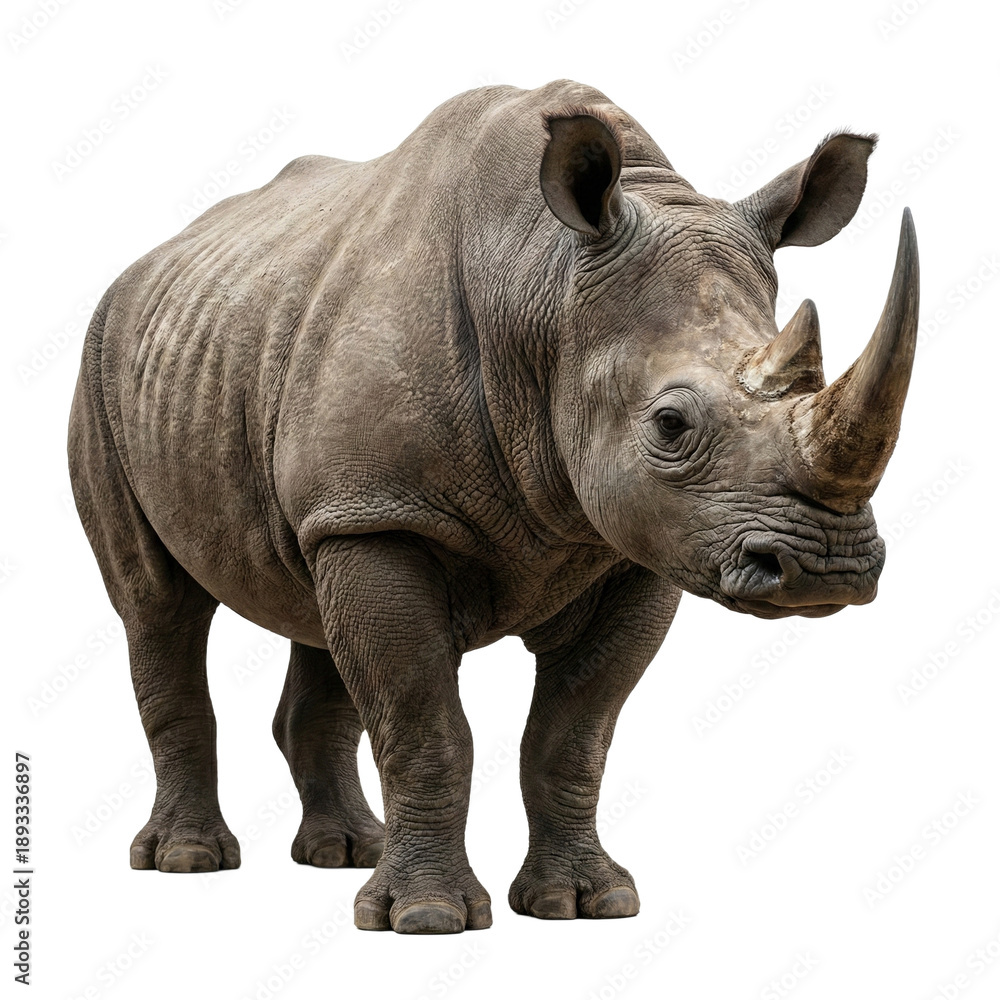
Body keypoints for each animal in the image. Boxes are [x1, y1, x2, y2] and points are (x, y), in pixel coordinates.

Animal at [68, 79, 919, 934]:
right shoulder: (386, 513)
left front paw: (585, 903)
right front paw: (425, 917)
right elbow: (424, 725)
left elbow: (574, 735)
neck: (544, 289)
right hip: (104, 361)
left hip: (266, 389)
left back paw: (345, 851)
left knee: (310, 597)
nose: (827, 569)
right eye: (670, 425)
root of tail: (149, 261)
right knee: (158, 604)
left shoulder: (632, 542)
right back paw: (187, 859)